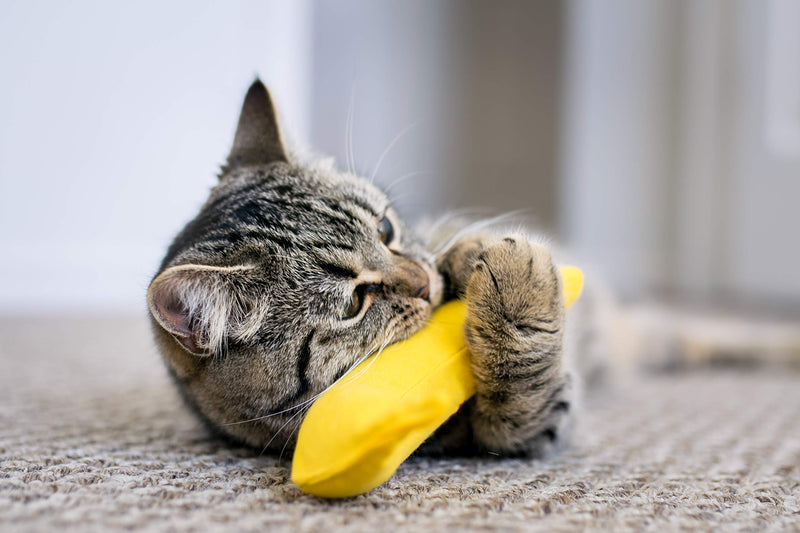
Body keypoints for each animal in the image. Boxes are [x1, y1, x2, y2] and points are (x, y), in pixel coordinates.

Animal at [148, 80, 576, 458]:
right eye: (353, 303)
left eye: (385, 229)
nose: (425, 285)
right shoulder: (507, 436)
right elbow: (520, 390)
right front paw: (517, 287)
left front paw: (464, 254)